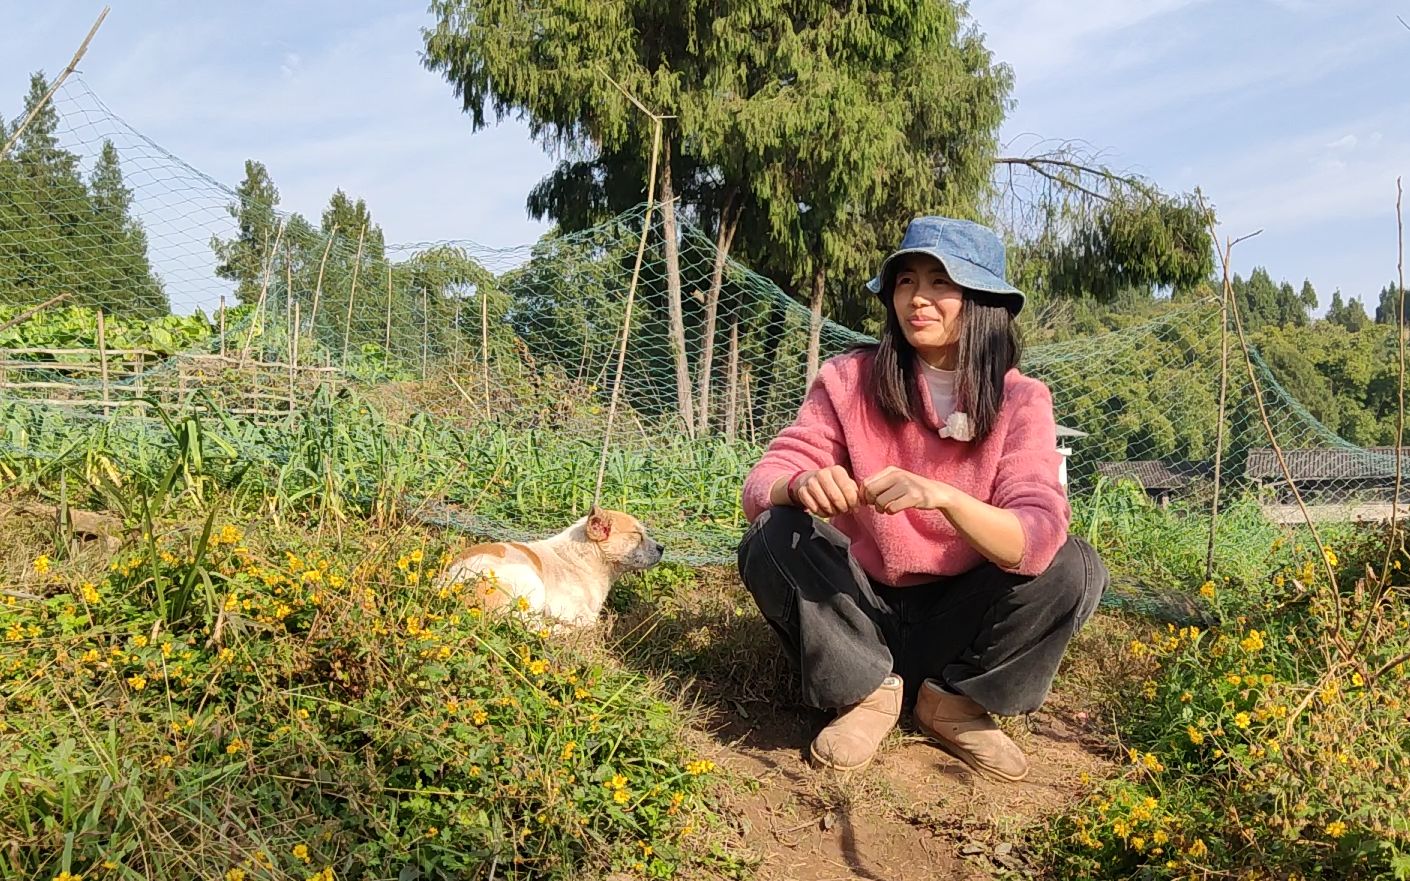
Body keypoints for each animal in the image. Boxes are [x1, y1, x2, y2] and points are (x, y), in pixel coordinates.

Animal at [437, 507, 662, 625]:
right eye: (637, 534)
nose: (662, 548)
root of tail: (448, 586)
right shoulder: (567, 607)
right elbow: (592, 623)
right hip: (531, 580)